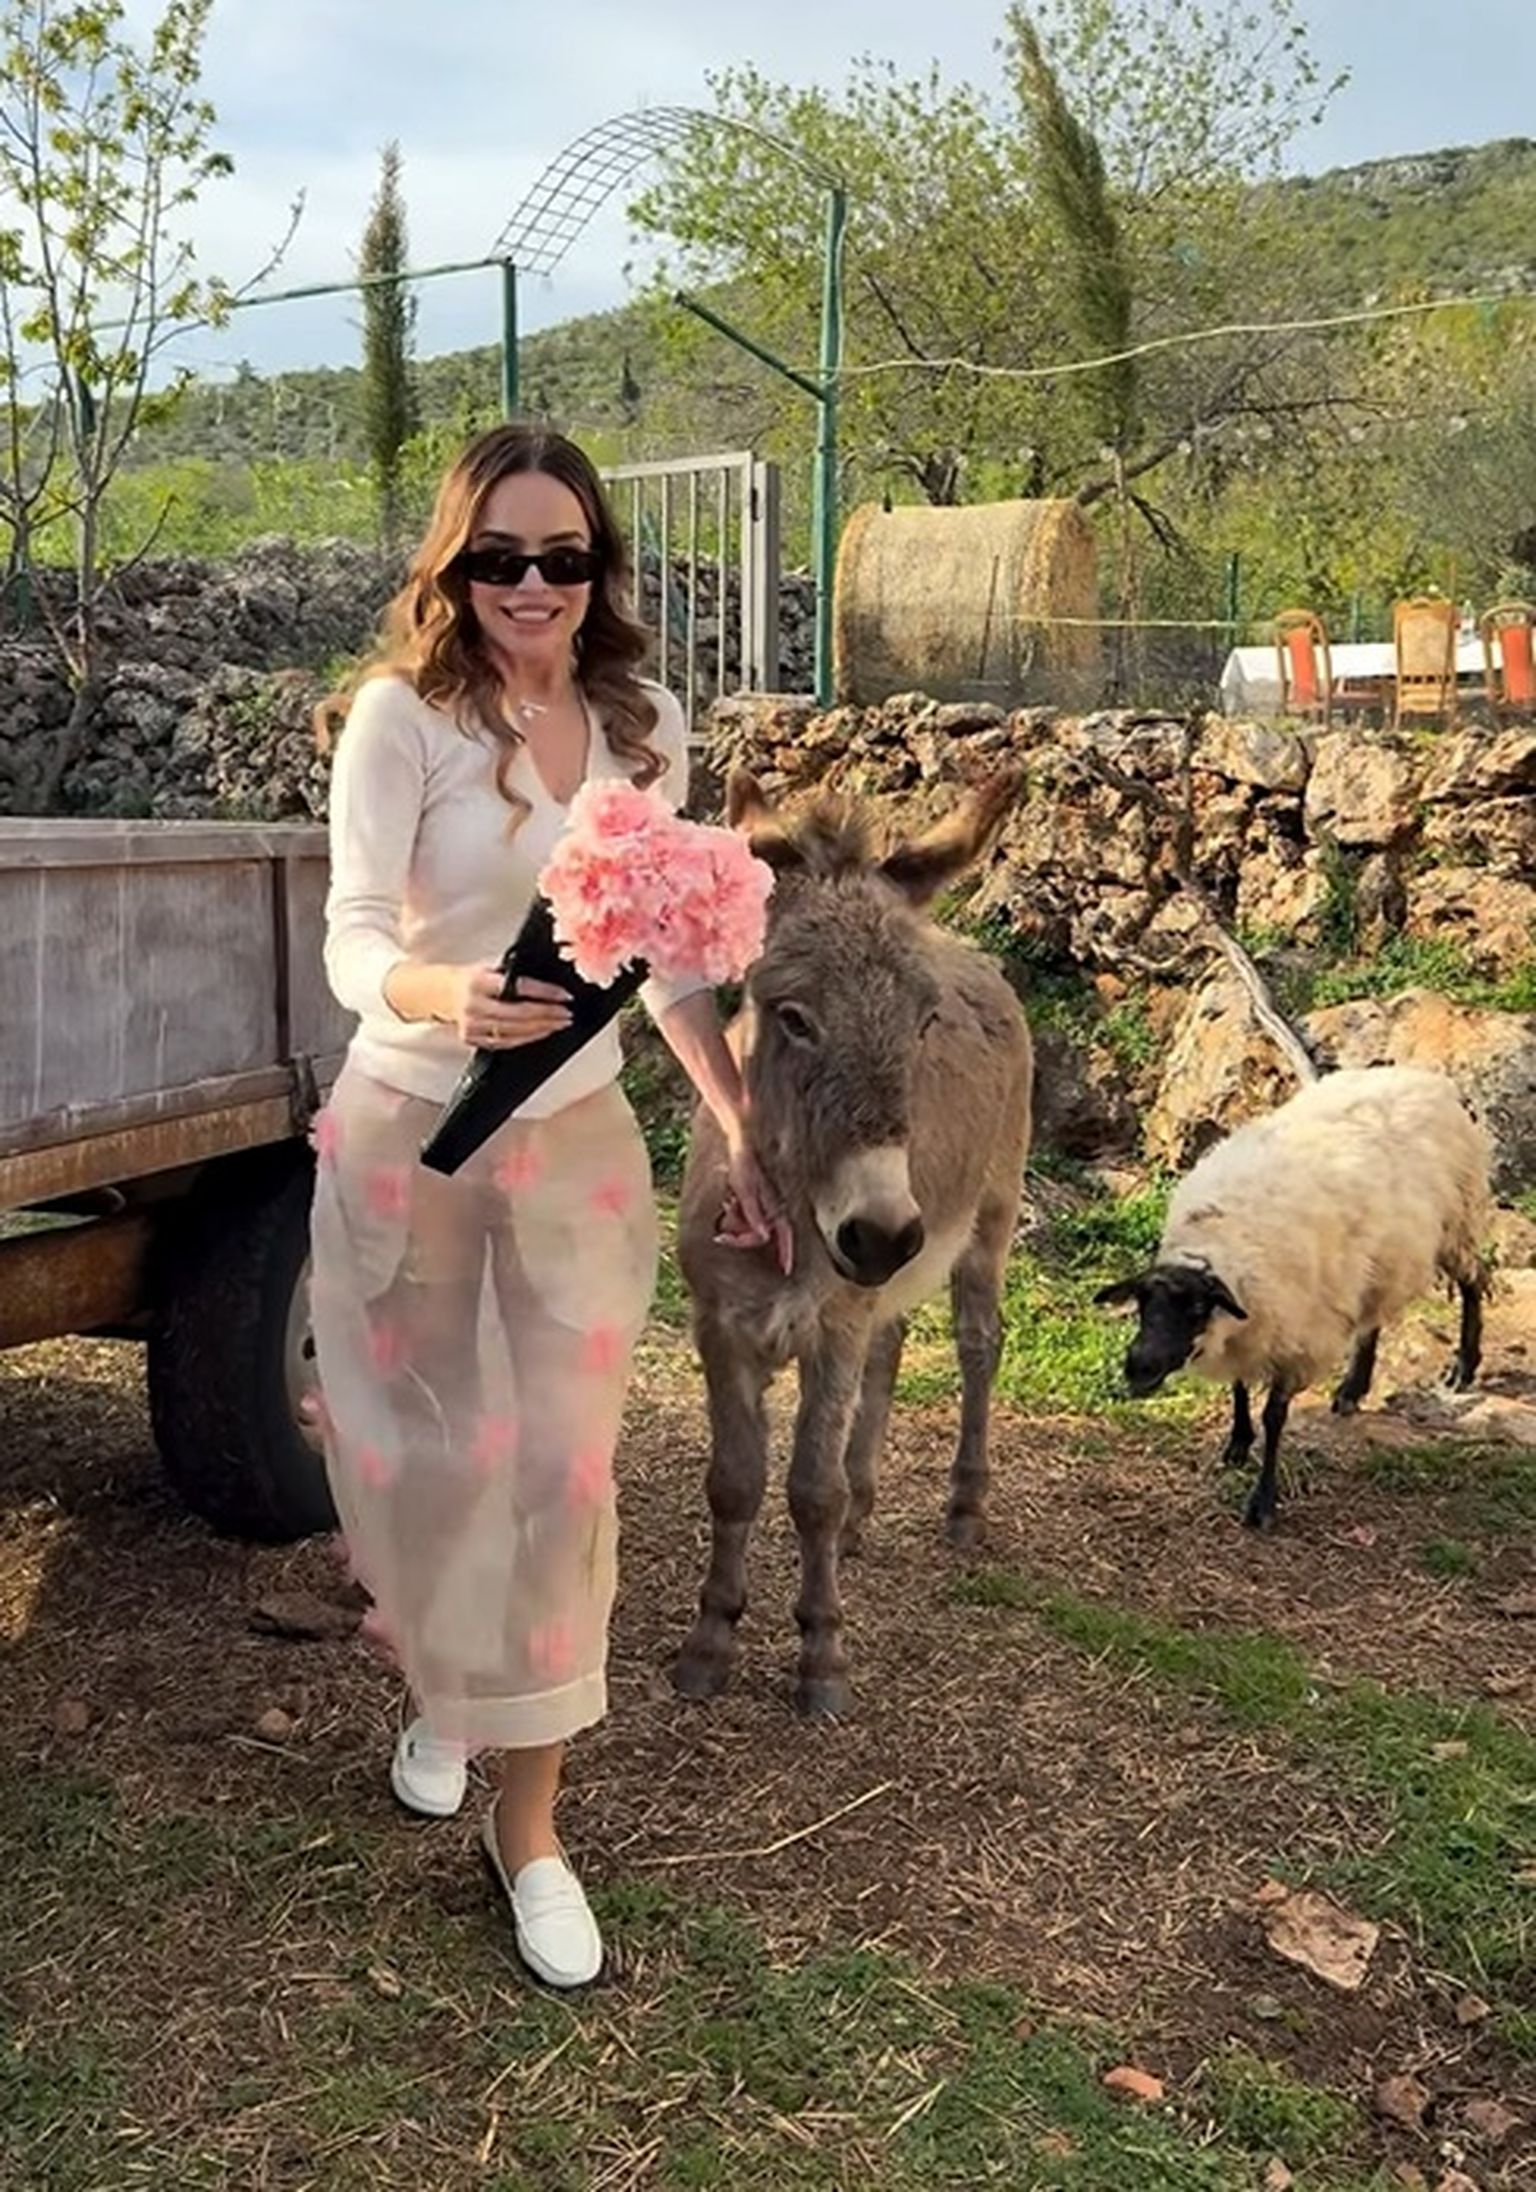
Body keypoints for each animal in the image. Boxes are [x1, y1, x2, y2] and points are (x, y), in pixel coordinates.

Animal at [1095, 1065, 1491, 1528]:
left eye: (1195, 1308)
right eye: (1142, 1304)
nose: (1138, 1366)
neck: (1215, 1244)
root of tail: (1429, 1079)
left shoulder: (1296, 1334)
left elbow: (1274, 1416)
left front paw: (1263, 1501)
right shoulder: (1254, 1326)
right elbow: (1239, 1387)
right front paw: (1237, 1443)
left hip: (1457, 1217)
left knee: (1474, 1282)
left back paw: (1463, 1368)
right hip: (1376, 1262)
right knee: (1372, 1318)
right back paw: (1352, 1388)